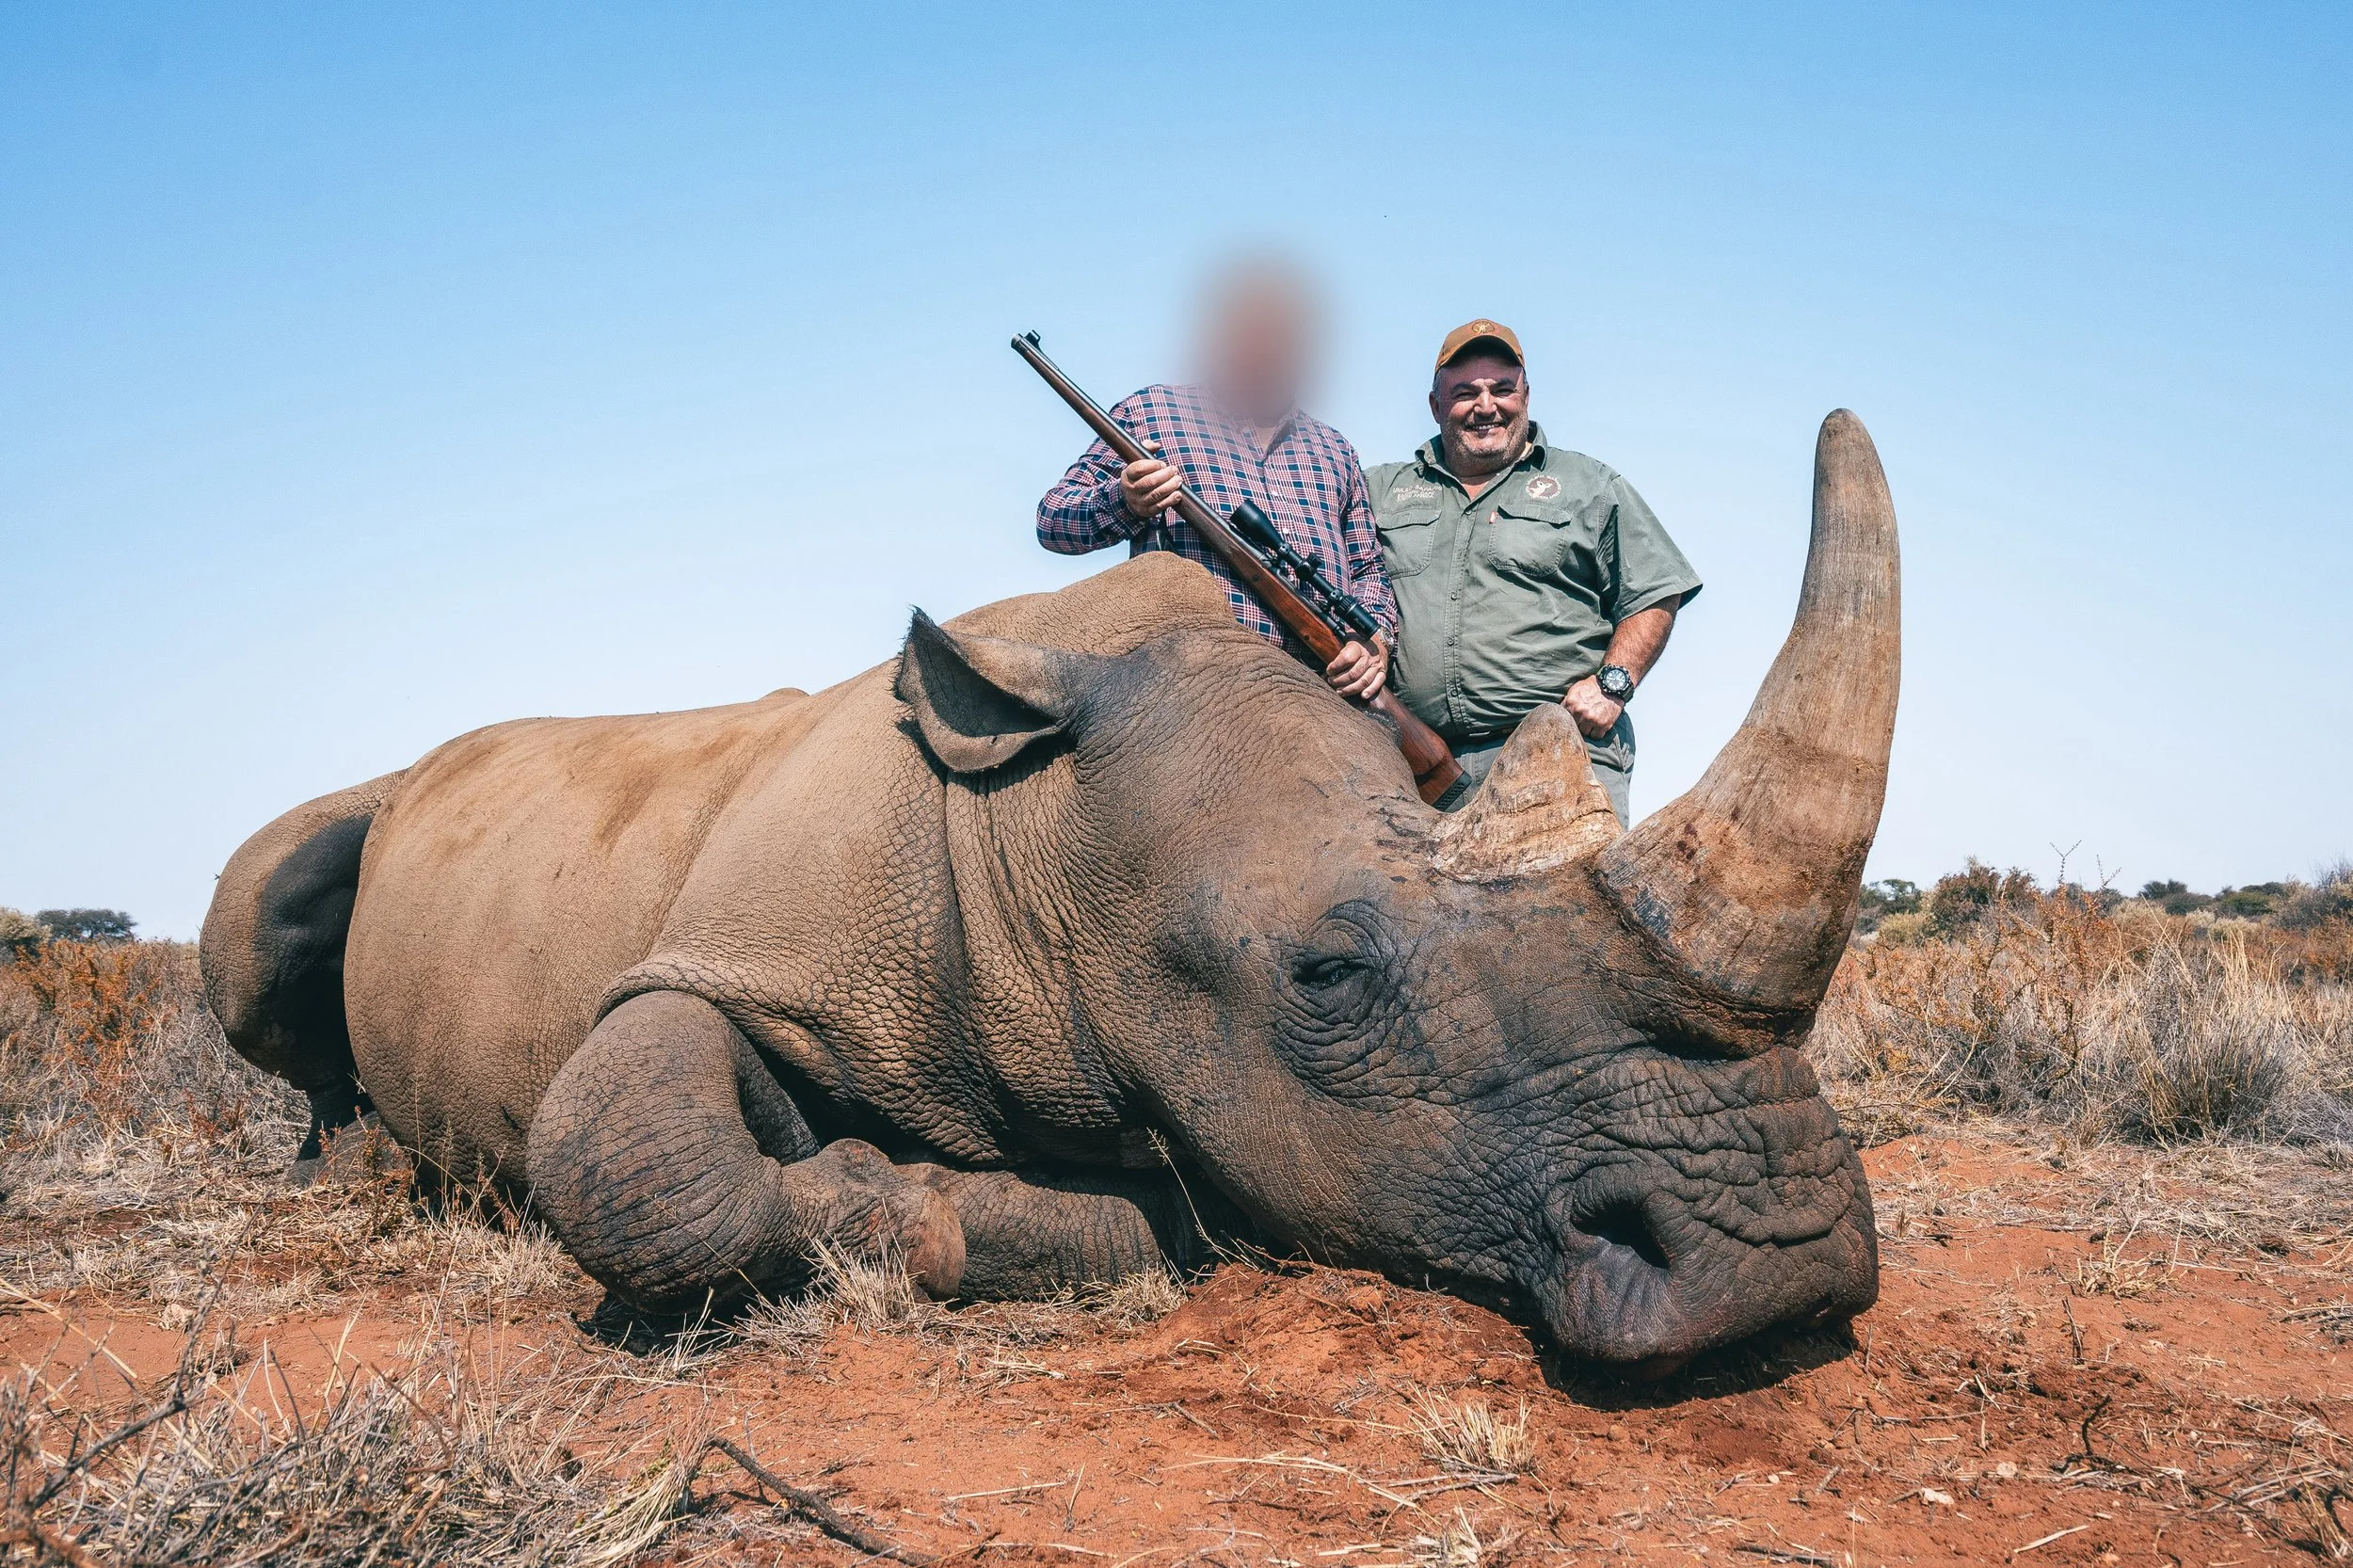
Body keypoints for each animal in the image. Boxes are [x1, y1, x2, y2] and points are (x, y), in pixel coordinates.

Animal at [200, 411, 1899, 1371]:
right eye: (1326, 977)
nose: (1780, 1264)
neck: (1045, 826)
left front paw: (1030, 1204)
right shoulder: (717, 962)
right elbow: (641, 1161)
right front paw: (902, 1186)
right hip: (387, 808)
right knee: (263, 912)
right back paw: (348, 1167)